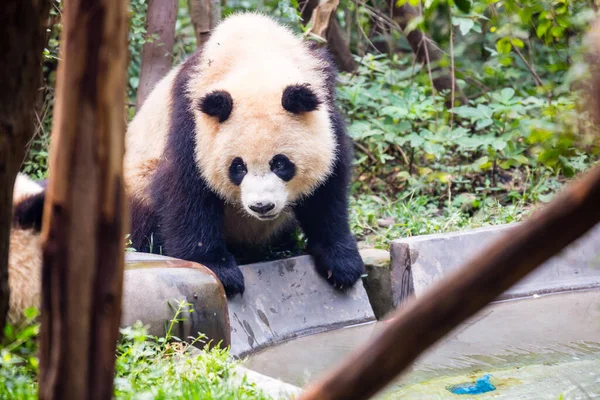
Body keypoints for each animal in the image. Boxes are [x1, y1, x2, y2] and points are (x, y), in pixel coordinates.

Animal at [124, 11, 364, 296]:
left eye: (280, 164)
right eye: (238, 167)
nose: (262, 206)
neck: (253, 60)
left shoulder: (324, 101)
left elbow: (329, 185)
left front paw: (342, 265)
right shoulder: (190, 118)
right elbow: (186, 189)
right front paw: (220, 270)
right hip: (138, 181)